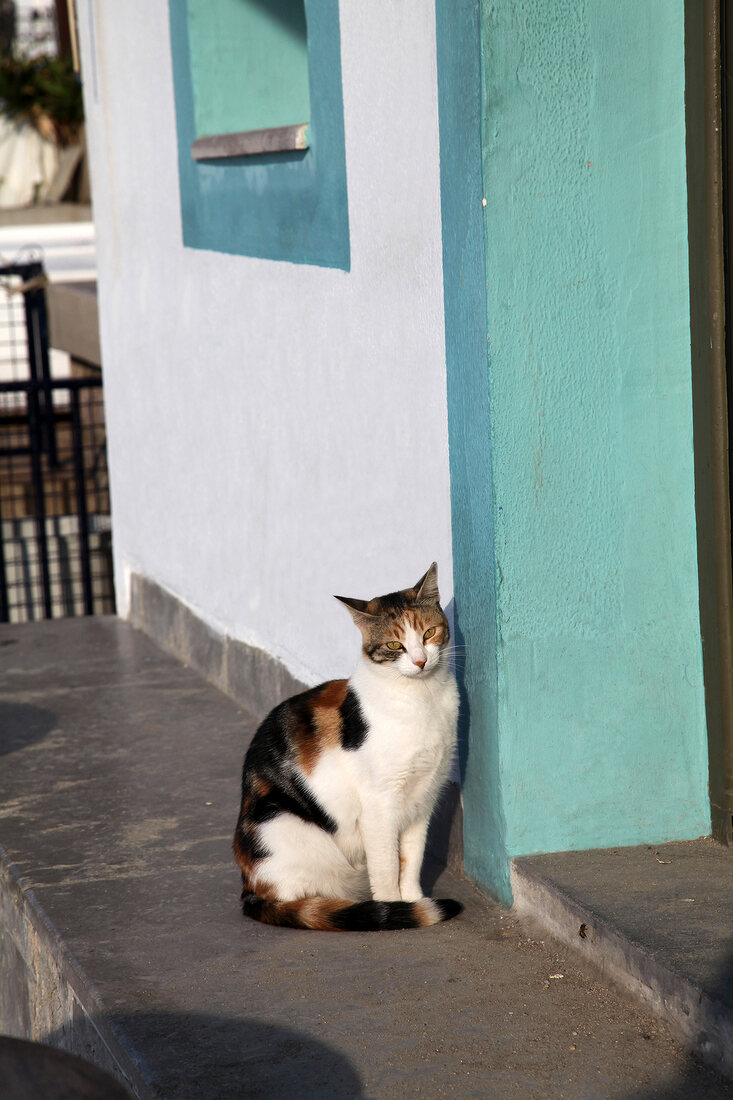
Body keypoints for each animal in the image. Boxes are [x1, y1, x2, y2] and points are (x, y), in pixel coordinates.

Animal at [231, 563, 460, 932]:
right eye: (394, 644)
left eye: (429, 633)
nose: (420, 661)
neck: (422, 698)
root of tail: (249, 890)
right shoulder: (379, 804)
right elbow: (387, 865)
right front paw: (395, 909)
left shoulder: (423, 798)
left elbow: (411, 858)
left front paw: (412, 899)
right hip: (281, 823)